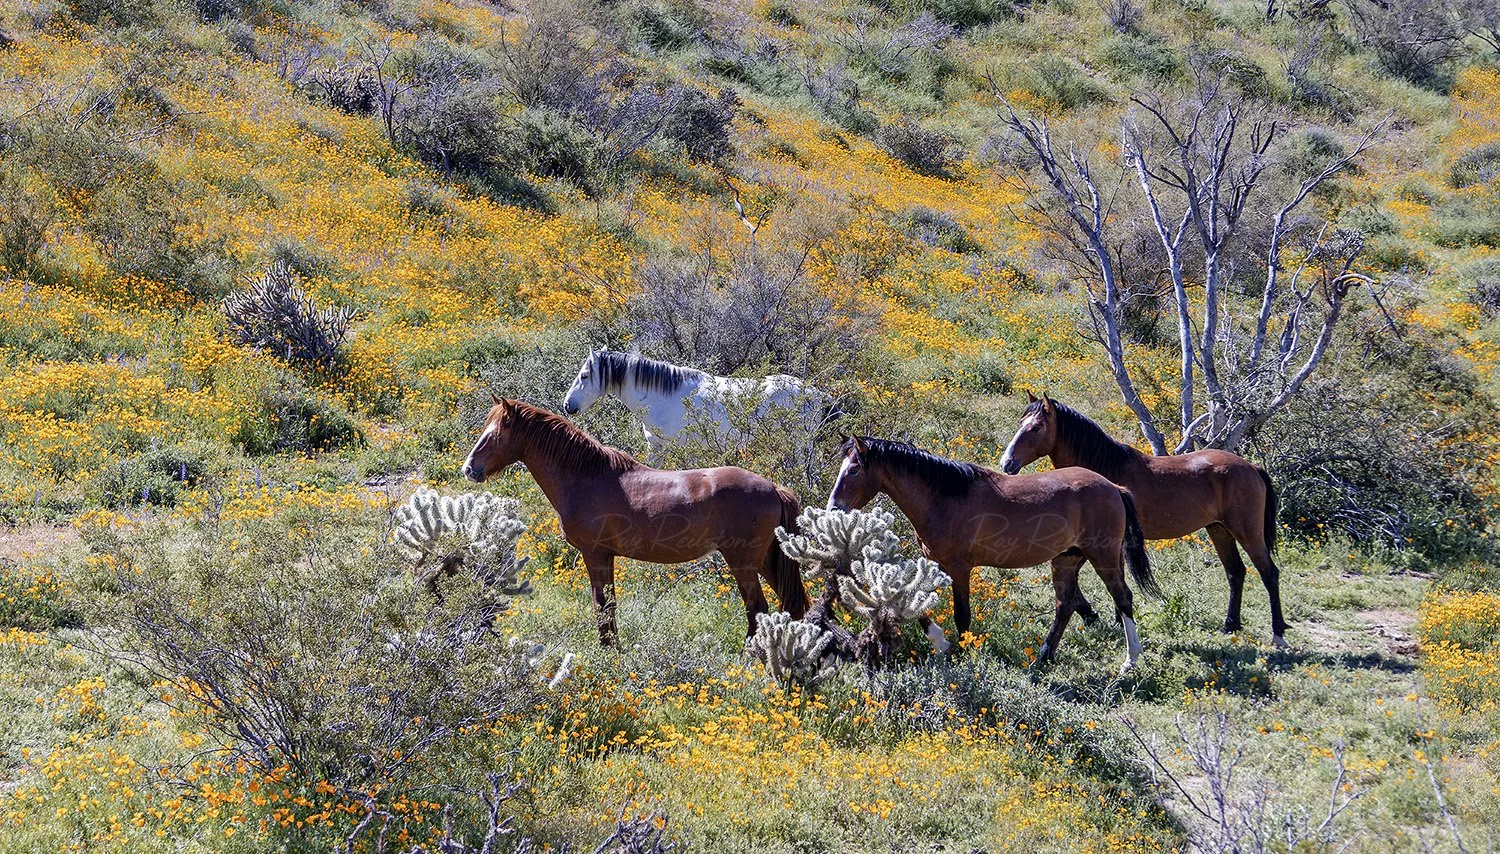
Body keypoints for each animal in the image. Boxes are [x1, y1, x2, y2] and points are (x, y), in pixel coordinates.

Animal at [462, 396, 809, 646]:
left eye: (495, 433)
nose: (469, 469)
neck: (586, 477)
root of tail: (772, 487)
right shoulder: (605, 556)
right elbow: (608, 604)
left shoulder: (595, 554)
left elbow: (602, 604)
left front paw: (609, 651)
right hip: (766, 561)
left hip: (743, 563)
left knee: (757, 608)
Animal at [562, 350, 835, 463]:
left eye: (585, 375)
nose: (567, 406)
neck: (664, 399)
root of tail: (814, 392)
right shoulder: (656, 449)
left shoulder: (689, 450)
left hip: (800, 446)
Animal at [828, 435, 1158, 673]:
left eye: (854, 469)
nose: (834, 509)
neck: (944, 498)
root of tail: (1114, 487)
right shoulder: (934, 563)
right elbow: (911, 600)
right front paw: (941, 642)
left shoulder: (959, 568)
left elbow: (962, 616)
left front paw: (959, 652)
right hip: (1066, 558)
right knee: (1065, 604)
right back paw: (1043, 657)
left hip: (1103, 558)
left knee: (1123, 598)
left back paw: (1130, 661)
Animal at [998, 392, 1288, 647]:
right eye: (1020, 424)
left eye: (1036, 427)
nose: (1006, 463)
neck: (1106, 470)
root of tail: (1252, 467)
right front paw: (1103, 617)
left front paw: (1108, 618)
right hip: (1219, 530)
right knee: (1235, 572)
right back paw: (1230, 625)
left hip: (1247, 531)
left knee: (1269, 572)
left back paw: (1278, 633)